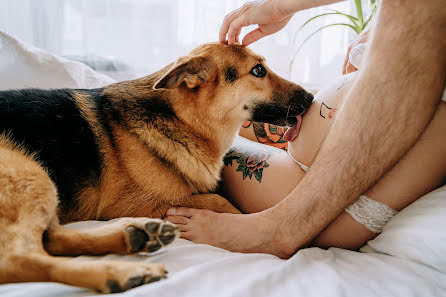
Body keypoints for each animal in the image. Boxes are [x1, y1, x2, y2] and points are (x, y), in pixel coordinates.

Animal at [0, 42, 314, 292]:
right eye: (258, 71)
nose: (311, 97)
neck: (182, 119)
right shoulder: (132, 204)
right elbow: (218, 199)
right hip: (30, 173)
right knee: (18, 258)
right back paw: (123, 273)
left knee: (49, 239)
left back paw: (135, 237)